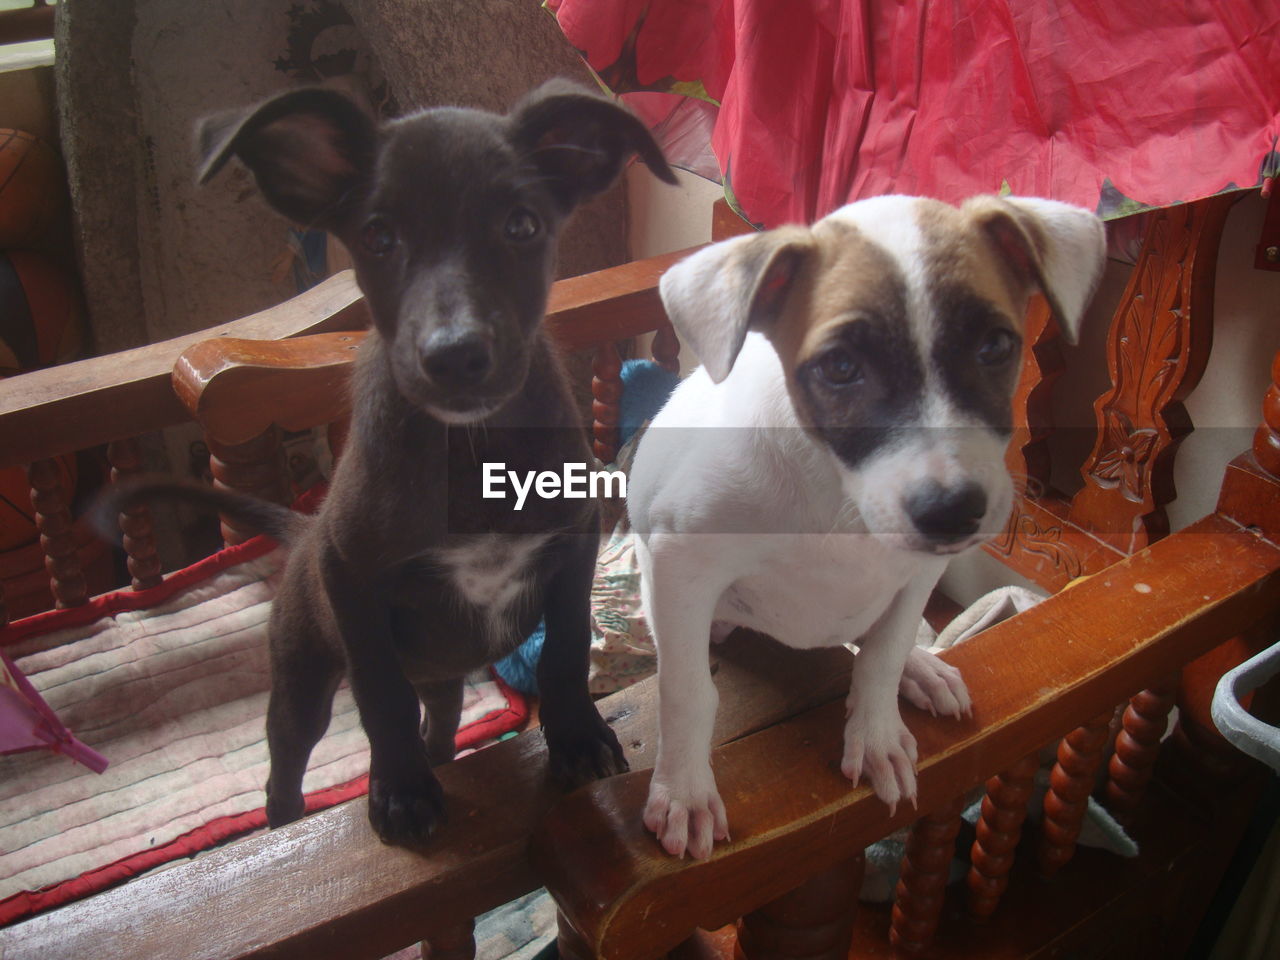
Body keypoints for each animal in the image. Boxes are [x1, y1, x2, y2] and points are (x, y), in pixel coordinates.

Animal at [119, 82, 675, 849]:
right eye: (378, 238)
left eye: (522, 225)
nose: (456, 356)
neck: (470, 450)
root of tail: (302, 528)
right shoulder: (351, 575)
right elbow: (380, 696)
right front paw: (402, 792)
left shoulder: (573, 539)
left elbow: (563, 649)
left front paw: (576, 739)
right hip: (302, 675)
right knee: (288, 761)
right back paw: (285, 827)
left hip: (438, 676)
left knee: (436, 718)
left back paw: (443, 755)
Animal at [632, 193, 1111, 855]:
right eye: (839, 367)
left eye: (995, 346)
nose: (952, 510)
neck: (840, 494)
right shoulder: (683, 562)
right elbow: (688, 692)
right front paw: (683, 791)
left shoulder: (918, 573)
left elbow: (883, 652)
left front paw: (878, 734)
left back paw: (921, 667)